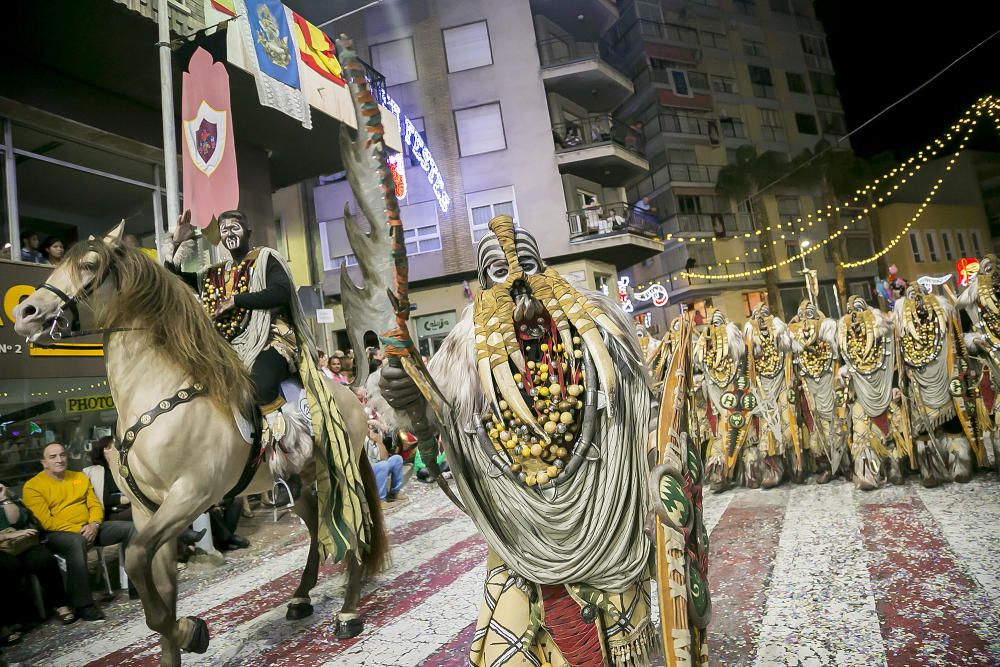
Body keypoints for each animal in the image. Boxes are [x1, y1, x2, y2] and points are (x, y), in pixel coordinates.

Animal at [12, 226, 386, 667]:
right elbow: (156, 584)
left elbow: (137, 561)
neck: (157, 393)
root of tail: (351, 395)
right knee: (314, 530)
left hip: (340, 473)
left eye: (88, 265)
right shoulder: (147, 509)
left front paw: (191, 632)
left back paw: (348, 612)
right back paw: (299, 598)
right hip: (298, 483)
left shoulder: (191, 495)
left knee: (352, 531)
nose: (25, 313)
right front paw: (179, 639)